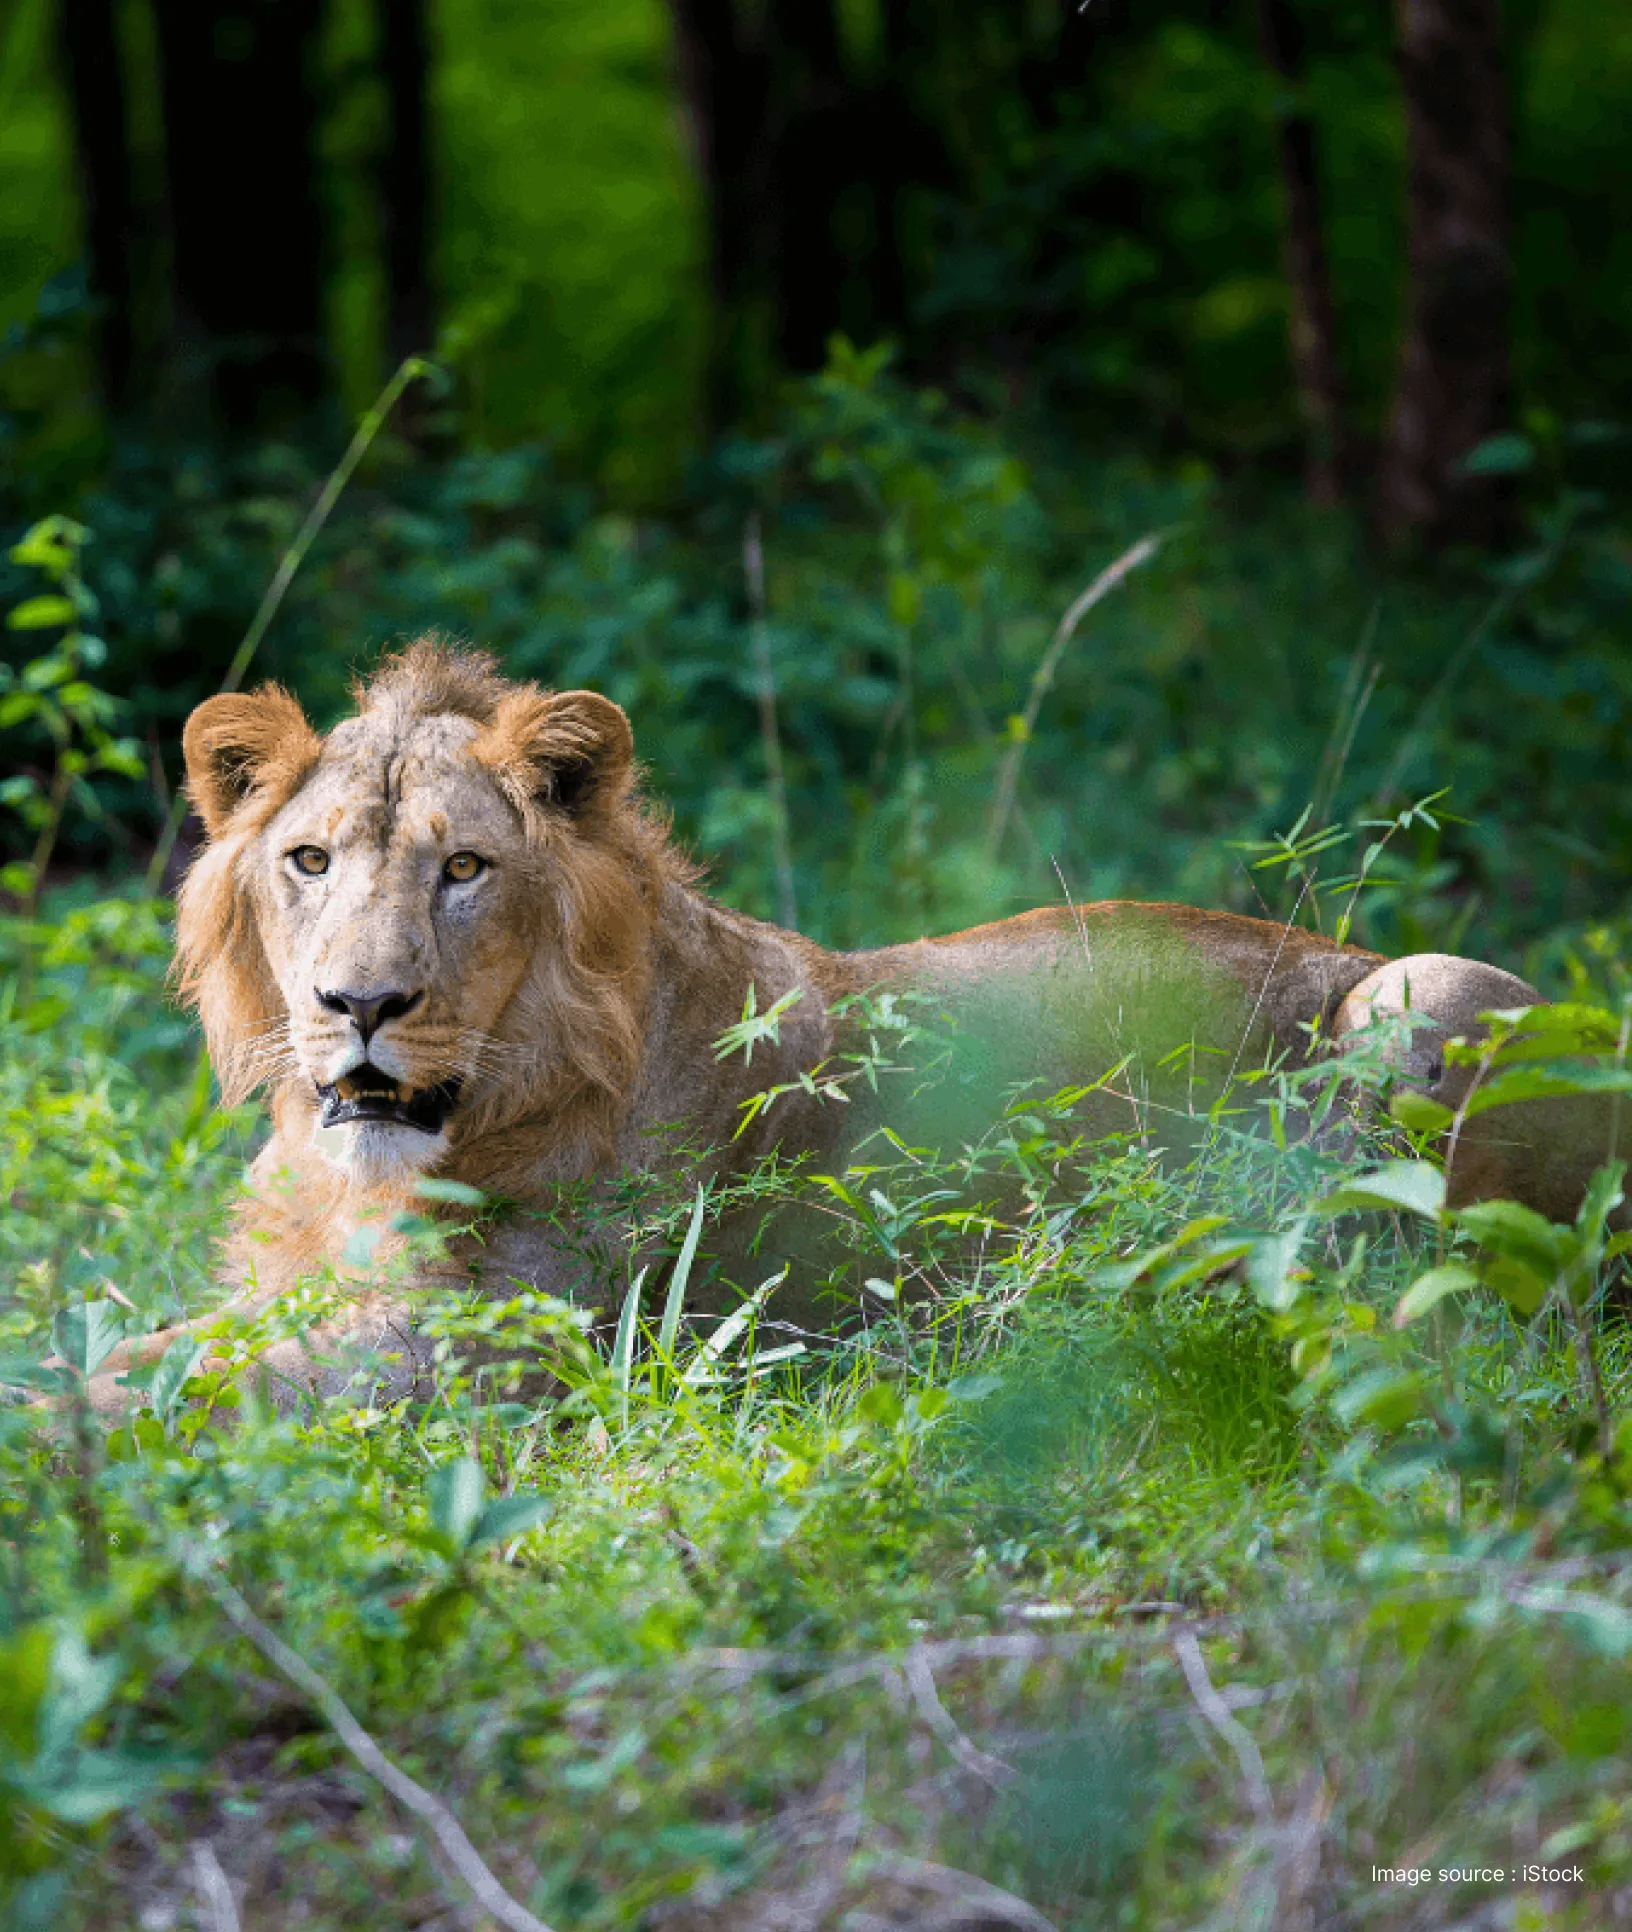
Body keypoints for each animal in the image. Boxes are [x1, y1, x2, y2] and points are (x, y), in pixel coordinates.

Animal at [76, 639, 1618, 1413]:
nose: (358, 1007)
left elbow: (174, 1390)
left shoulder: (506, 1354)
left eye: (464, 869)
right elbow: (139, 1349)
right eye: (309, 862)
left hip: (1427, 993)